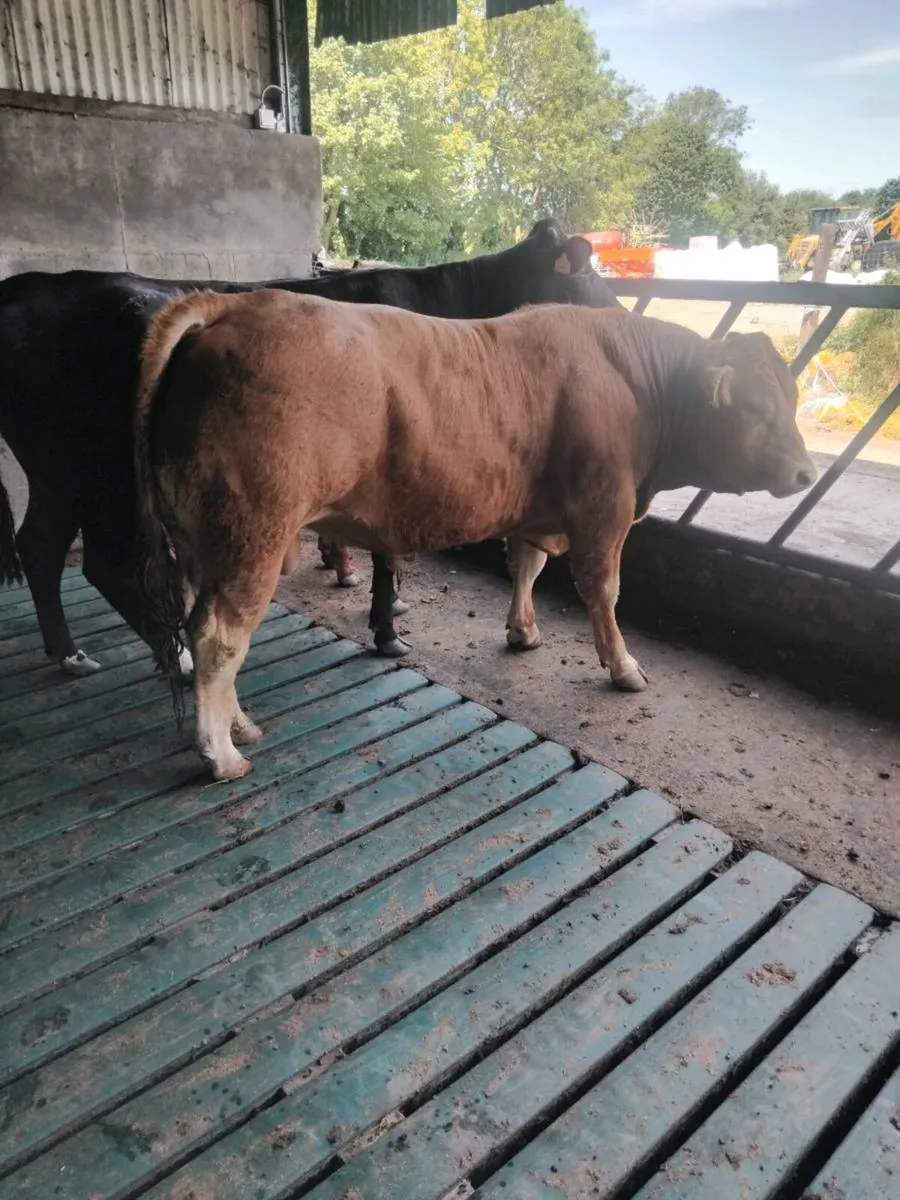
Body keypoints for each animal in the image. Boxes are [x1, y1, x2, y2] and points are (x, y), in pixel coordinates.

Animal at [0, 219, 619, 677]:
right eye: (590, 273)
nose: (619, 317)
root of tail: (31, 286)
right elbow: (386, 556)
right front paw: (387, 630)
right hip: (99, 474)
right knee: (103, 564)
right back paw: (172, 656)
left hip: (55, 471)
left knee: (39, 547)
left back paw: (70, 653)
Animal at [133, 291, 817, 782]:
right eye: (757, 407)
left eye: (792, 398)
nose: (806, 473)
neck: (634, 382)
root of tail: (237, 303)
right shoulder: (605, 509)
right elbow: (604, 590)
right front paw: (623, 666)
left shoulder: (538, 511)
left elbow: (527, 566)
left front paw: (523, 631)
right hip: (255, 533)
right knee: (221, 635)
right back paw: (222, 754)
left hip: (199, 541)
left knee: (203, 626)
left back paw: (239, 726)